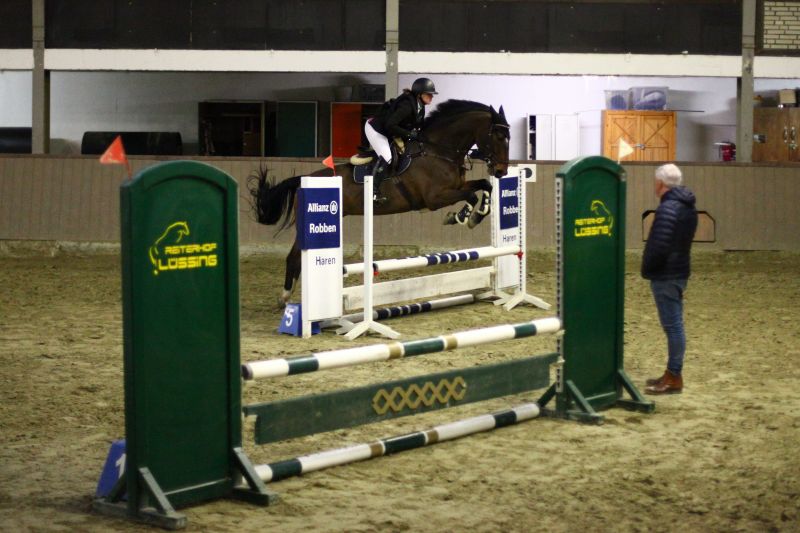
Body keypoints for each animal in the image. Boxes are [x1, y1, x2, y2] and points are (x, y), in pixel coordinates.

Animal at [248, 99, 511, 306]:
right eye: (499, 136)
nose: (501, 171)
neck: (438, 150)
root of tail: (305, 179)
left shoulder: (457, 187)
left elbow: (483, 187)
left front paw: (474, 215)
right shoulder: (435, 197)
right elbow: (471, 196)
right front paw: (463, 216)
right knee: (293, 258)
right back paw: (284, 298)